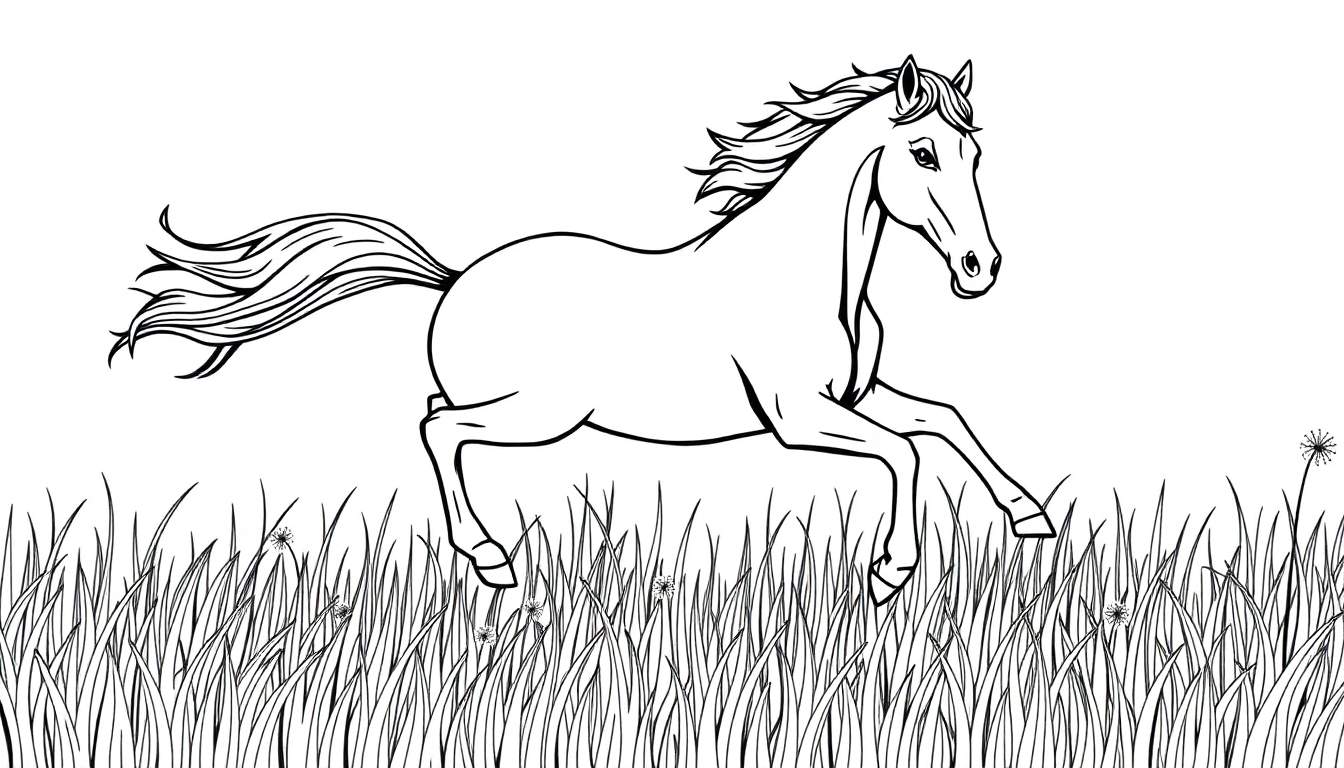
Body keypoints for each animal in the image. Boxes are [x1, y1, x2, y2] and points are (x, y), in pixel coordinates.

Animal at [111, 56, 1056, 605]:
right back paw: (491, 559)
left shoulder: (858, 395)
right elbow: (905, 454)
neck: (814, 277)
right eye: (924, 154)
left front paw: (1031, 516)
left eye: (975, 155)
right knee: (438, 429)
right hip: (539, 414)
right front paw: (891, 571)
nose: (981, 268)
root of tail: (453, 279)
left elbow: (942, 421)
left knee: (434, 416)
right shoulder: (797, 418)